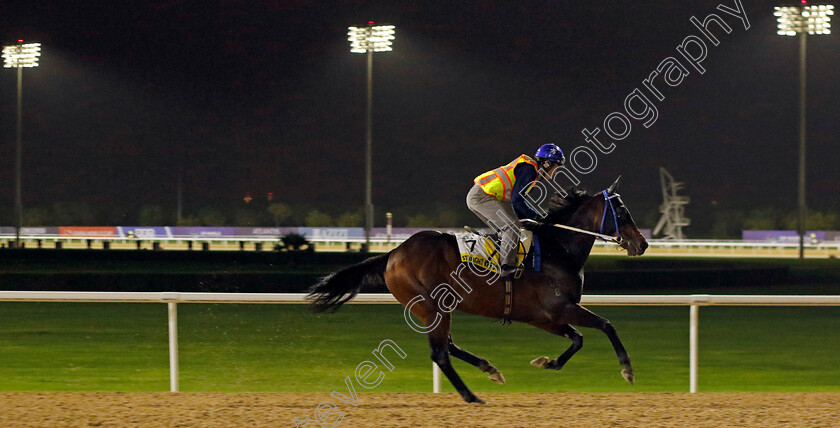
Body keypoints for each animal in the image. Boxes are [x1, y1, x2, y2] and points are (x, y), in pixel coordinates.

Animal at [308, 176, 648, 402]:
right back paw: (471, 396)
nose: (642, 244)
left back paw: (490, 369)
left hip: (433, 309)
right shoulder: (560, 309)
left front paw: (547, 362)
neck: (557, 249)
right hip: (430, 305)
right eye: (622, 212)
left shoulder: (543, 317)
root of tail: (393, 253)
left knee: (448, 346)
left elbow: (578, 339)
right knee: (440, 353)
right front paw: (628, 370)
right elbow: (606, 325)